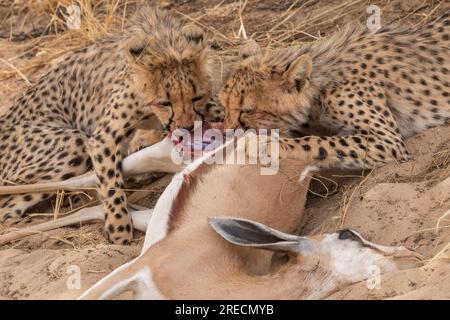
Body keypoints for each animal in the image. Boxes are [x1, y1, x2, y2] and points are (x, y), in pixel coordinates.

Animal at [0, 8, 221, 245]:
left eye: (197, 97)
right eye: (165, 102)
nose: (187, 128)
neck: (164, 43)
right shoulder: (102, 137)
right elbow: (110, 182)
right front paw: (119, 227)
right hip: (73, 144)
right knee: (8, 210)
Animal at [221, 11, 450, 169]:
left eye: (247, 110)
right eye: (224, 105)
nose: (225, 132)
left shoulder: (388, 140)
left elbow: (317, 142)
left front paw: (264, 143)